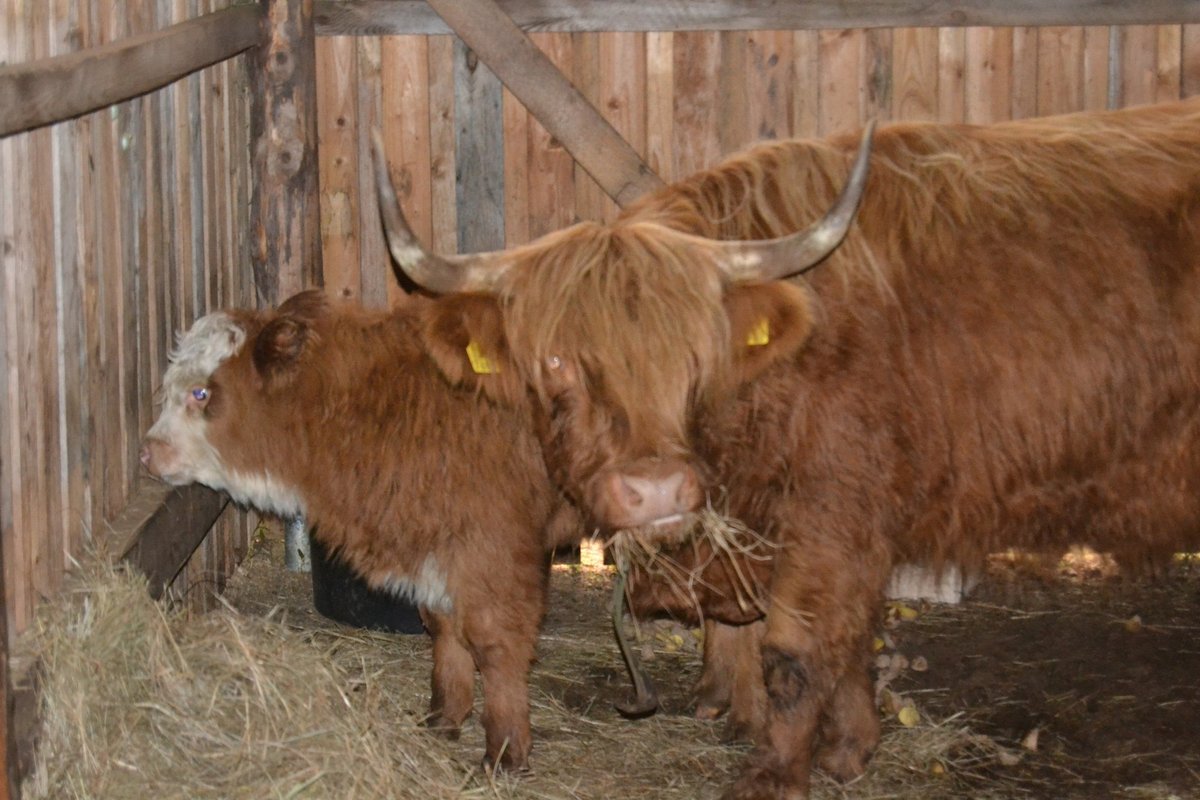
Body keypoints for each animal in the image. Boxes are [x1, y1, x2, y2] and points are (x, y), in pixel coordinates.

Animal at [138, 291, 578, 772]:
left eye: (201, 392)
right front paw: (444, 716)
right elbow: (445, 629)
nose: (147, 451)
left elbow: (493, 643)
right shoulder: (437, 545)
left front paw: (505, 748)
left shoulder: (493, 547)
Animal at [372, 101, 1200, 800]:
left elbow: (795, 652)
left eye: (696, 354)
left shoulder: (839, 511)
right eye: (556, 361)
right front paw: (850, 749)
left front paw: (773, 775)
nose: (658, 491)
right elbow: (845, 639)